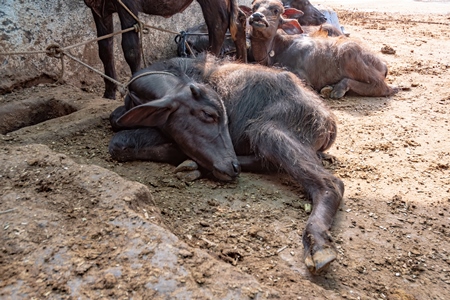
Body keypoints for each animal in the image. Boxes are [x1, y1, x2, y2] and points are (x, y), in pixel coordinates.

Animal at [109, 54, 344, 274]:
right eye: (208, 114)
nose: (232, 166)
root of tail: (328, 119)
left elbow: (118, 142)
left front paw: (176, 151)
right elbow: (115, 121)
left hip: (268, 130)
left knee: (330, 183)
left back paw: (318, 245)